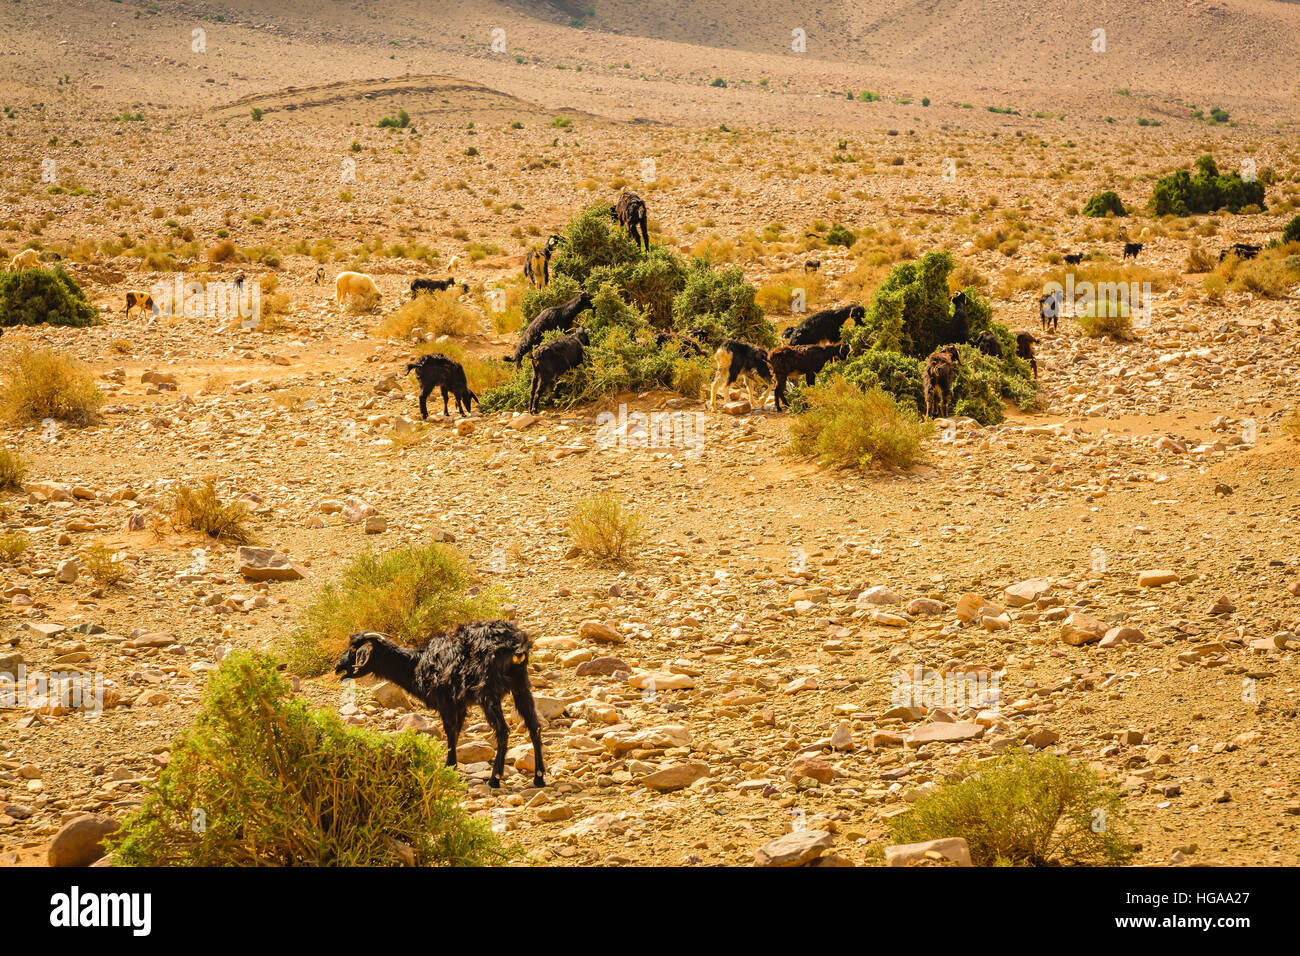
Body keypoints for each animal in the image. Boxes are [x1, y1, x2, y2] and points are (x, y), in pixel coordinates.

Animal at [338, 624, 546, 790]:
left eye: (354, 648)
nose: (337, 667)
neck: (416, 664)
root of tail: (515, 646)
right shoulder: (459, 704)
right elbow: (456, 732)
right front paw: (451, 765)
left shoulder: (446, 701)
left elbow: (450, 732)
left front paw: (449, 766)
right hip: (521, 685)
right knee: (534, 726)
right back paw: (539, 778)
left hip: (487, 691)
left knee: (502, 730)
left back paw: (494, 779)